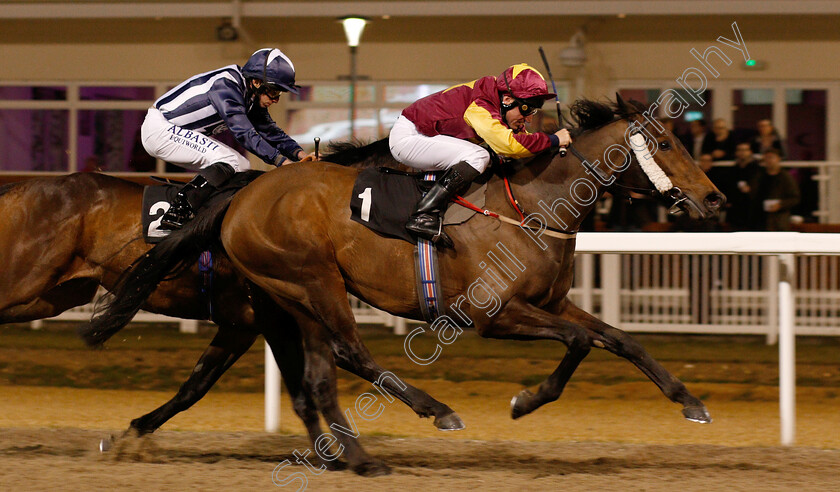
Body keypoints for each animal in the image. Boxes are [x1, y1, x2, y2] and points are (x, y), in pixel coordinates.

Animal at [77, 96, 720, 472]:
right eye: (665, 143)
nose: (714, 198)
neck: (534, 203)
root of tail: (243, 194)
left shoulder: (551, 303)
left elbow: (620, 339)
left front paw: (690, 401)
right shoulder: (494, 315)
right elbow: (582, 343)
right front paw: (525, 400)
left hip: (292, 294)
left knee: (319, 371)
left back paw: (356, 455)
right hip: (313, 280)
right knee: (349, 352)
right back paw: (430, 413)